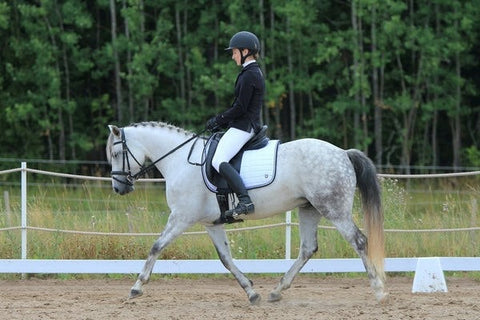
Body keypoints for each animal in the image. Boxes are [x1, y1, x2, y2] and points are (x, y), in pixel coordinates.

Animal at [105, 120, 386, 304]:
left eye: (117, 153)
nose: (119, 188)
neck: (181, 161)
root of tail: (343, 153)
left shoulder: (181, 217)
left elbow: (156, 246)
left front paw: (137, 287)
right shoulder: (212, 223)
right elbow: (225, 259)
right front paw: (251, 291)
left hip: (333, 208)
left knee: (359, 241)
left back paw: (379, 290)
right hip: (309, 209)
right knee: (308, 249)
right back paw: (276, 291)